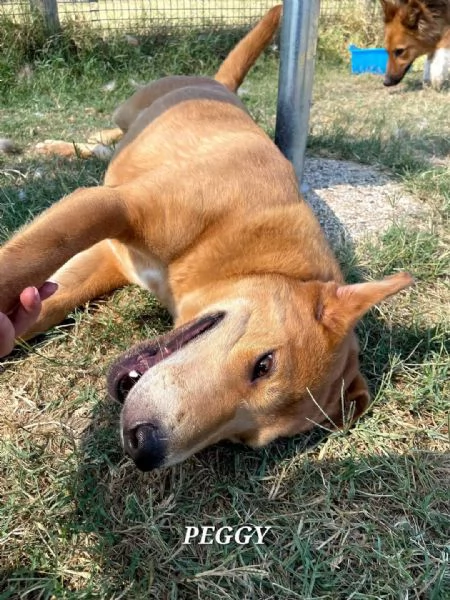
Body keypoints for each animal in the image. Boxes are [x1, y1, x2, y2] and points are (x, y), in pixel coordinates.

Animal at [0, 5, 414, 474]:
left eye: (241, 438)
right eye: (264, 364)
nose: (143, 447)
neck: (245, 251)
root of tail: (221, 85)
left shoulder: (107, 260)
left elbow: (42, 307)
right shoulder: (111, 205)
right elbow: (29, 259)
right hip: (132, 108)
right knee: (110, 131)